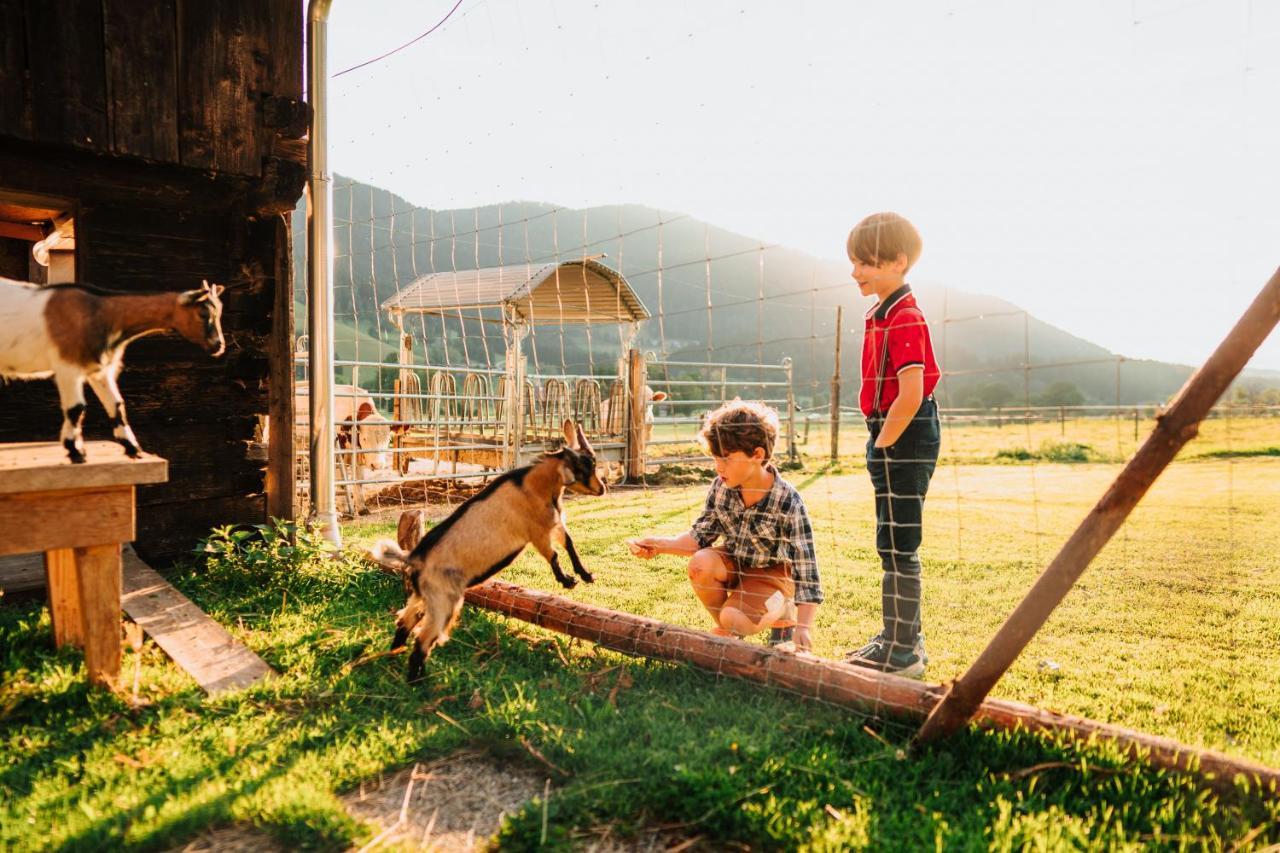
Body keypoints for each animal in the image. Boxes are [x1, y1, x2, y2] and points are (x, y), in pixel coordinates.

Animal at [0, 275, 227, 461]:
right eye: (203, 313)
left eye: (218, 313)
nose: (219, 346)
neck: (102, 312)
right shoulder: (68, 366)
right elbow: (76, 408)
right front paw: (75, 451)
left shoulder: (98, 370)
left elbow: (117, 404)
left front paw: (132, 448)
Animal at [371, 417, 604, 676]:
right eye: (585, 467)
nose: (602, 489)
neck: (535, 483)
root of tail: (414, 559)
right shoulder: (537, 532)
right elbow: (552, 555)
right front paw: (567, 581)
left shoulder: (555, 523)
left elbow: (569, 544)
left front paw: (585, 575)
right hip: (444, 600)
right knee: (423, 641)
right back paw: (420, 682)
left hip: (423, 596)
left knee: (404, 621)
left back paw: (394, 658)